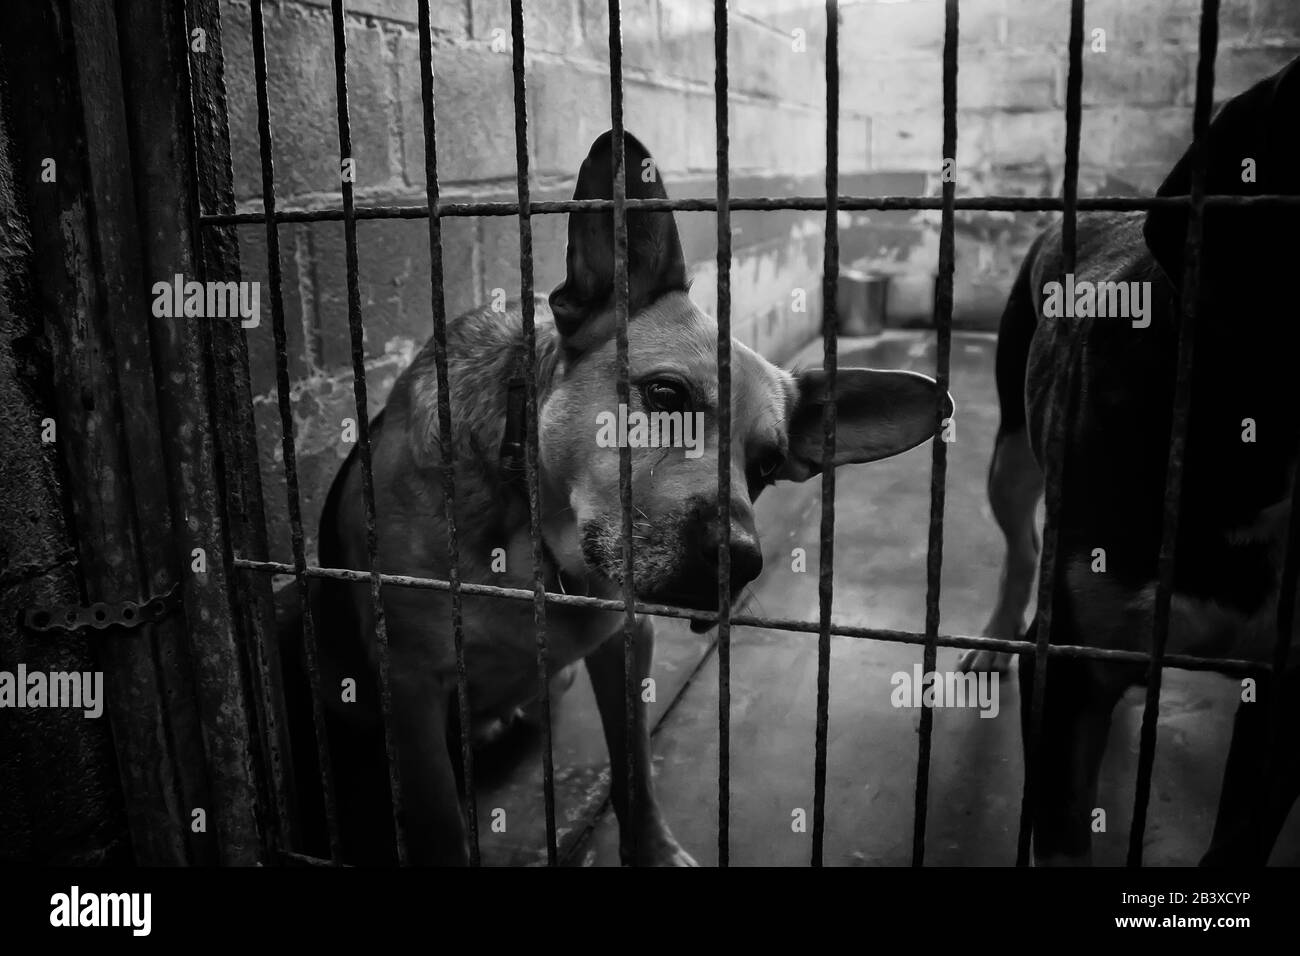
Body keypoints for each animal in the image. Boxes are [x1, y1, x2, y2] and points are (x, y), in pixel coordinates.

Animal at [967, 59, 1300, 868]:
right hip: (1011, 459)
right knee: (1019, 548)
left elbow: (1239, 841)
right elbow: (1059, 835)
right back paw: (992, 639)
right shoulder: (1067, 670)